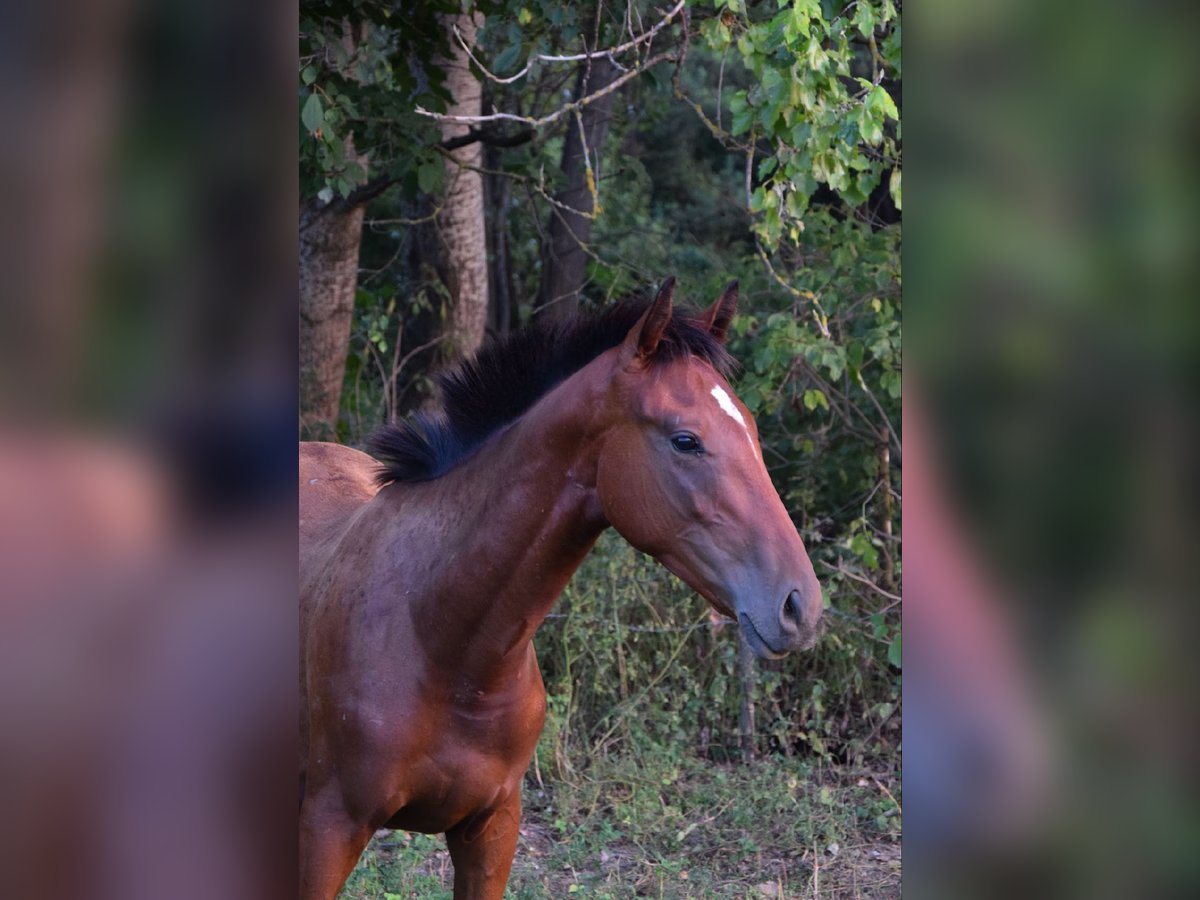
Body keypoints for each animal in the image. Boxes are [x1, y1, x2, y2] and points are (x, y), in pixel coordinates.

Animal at [300, 278, 825, 897]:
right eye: (685, 440)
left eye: (751, 428)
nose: (800, 606)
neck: (439, 641)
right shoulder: (328, 830)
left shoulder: (492, 829)